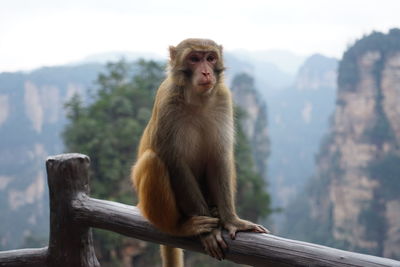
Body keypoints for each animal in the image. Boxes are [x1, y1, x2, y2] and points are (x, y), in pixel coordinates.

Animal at [131, 38, 268, 267]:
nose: (206, 72)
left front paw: (232, 221)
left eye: (210, 58)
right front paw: (209, 233)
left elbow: (220, 158)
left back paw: (215, 210)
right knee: (153, 161)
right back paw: (179, 227)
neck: (197, 100)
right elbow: (175, 163)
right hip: (153, 209)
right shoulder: (167, 103)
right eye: (194, 59)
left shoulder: (223, 99)